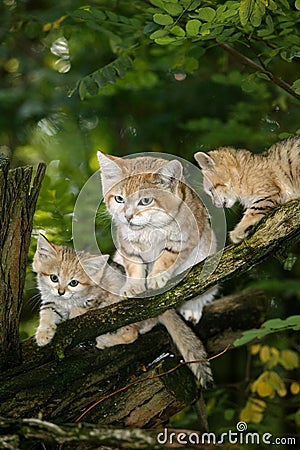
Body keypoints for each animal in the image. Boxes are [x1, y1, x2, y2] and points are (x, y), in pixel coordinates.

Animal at [32, 234, 213, 384]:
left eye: (74, 283)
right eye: (54, 278)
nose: (61, 292)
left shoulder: (100, 295)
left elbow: (82, 308)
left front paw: (74, 315)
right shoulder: (51, 302)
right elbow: (47, 313)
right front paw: (43, 334)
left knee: (131, 335)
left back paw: (105, 340)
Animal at [97, 151, 217, 324]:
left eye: (145, 201)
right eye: (119, 199)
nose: (127, 216)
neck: (149, 228)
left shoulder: (186, 239)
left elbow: (168, 256)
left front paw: (157, 275)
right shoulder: (126, 242)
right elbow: (133, 264)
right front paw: (133, 285)